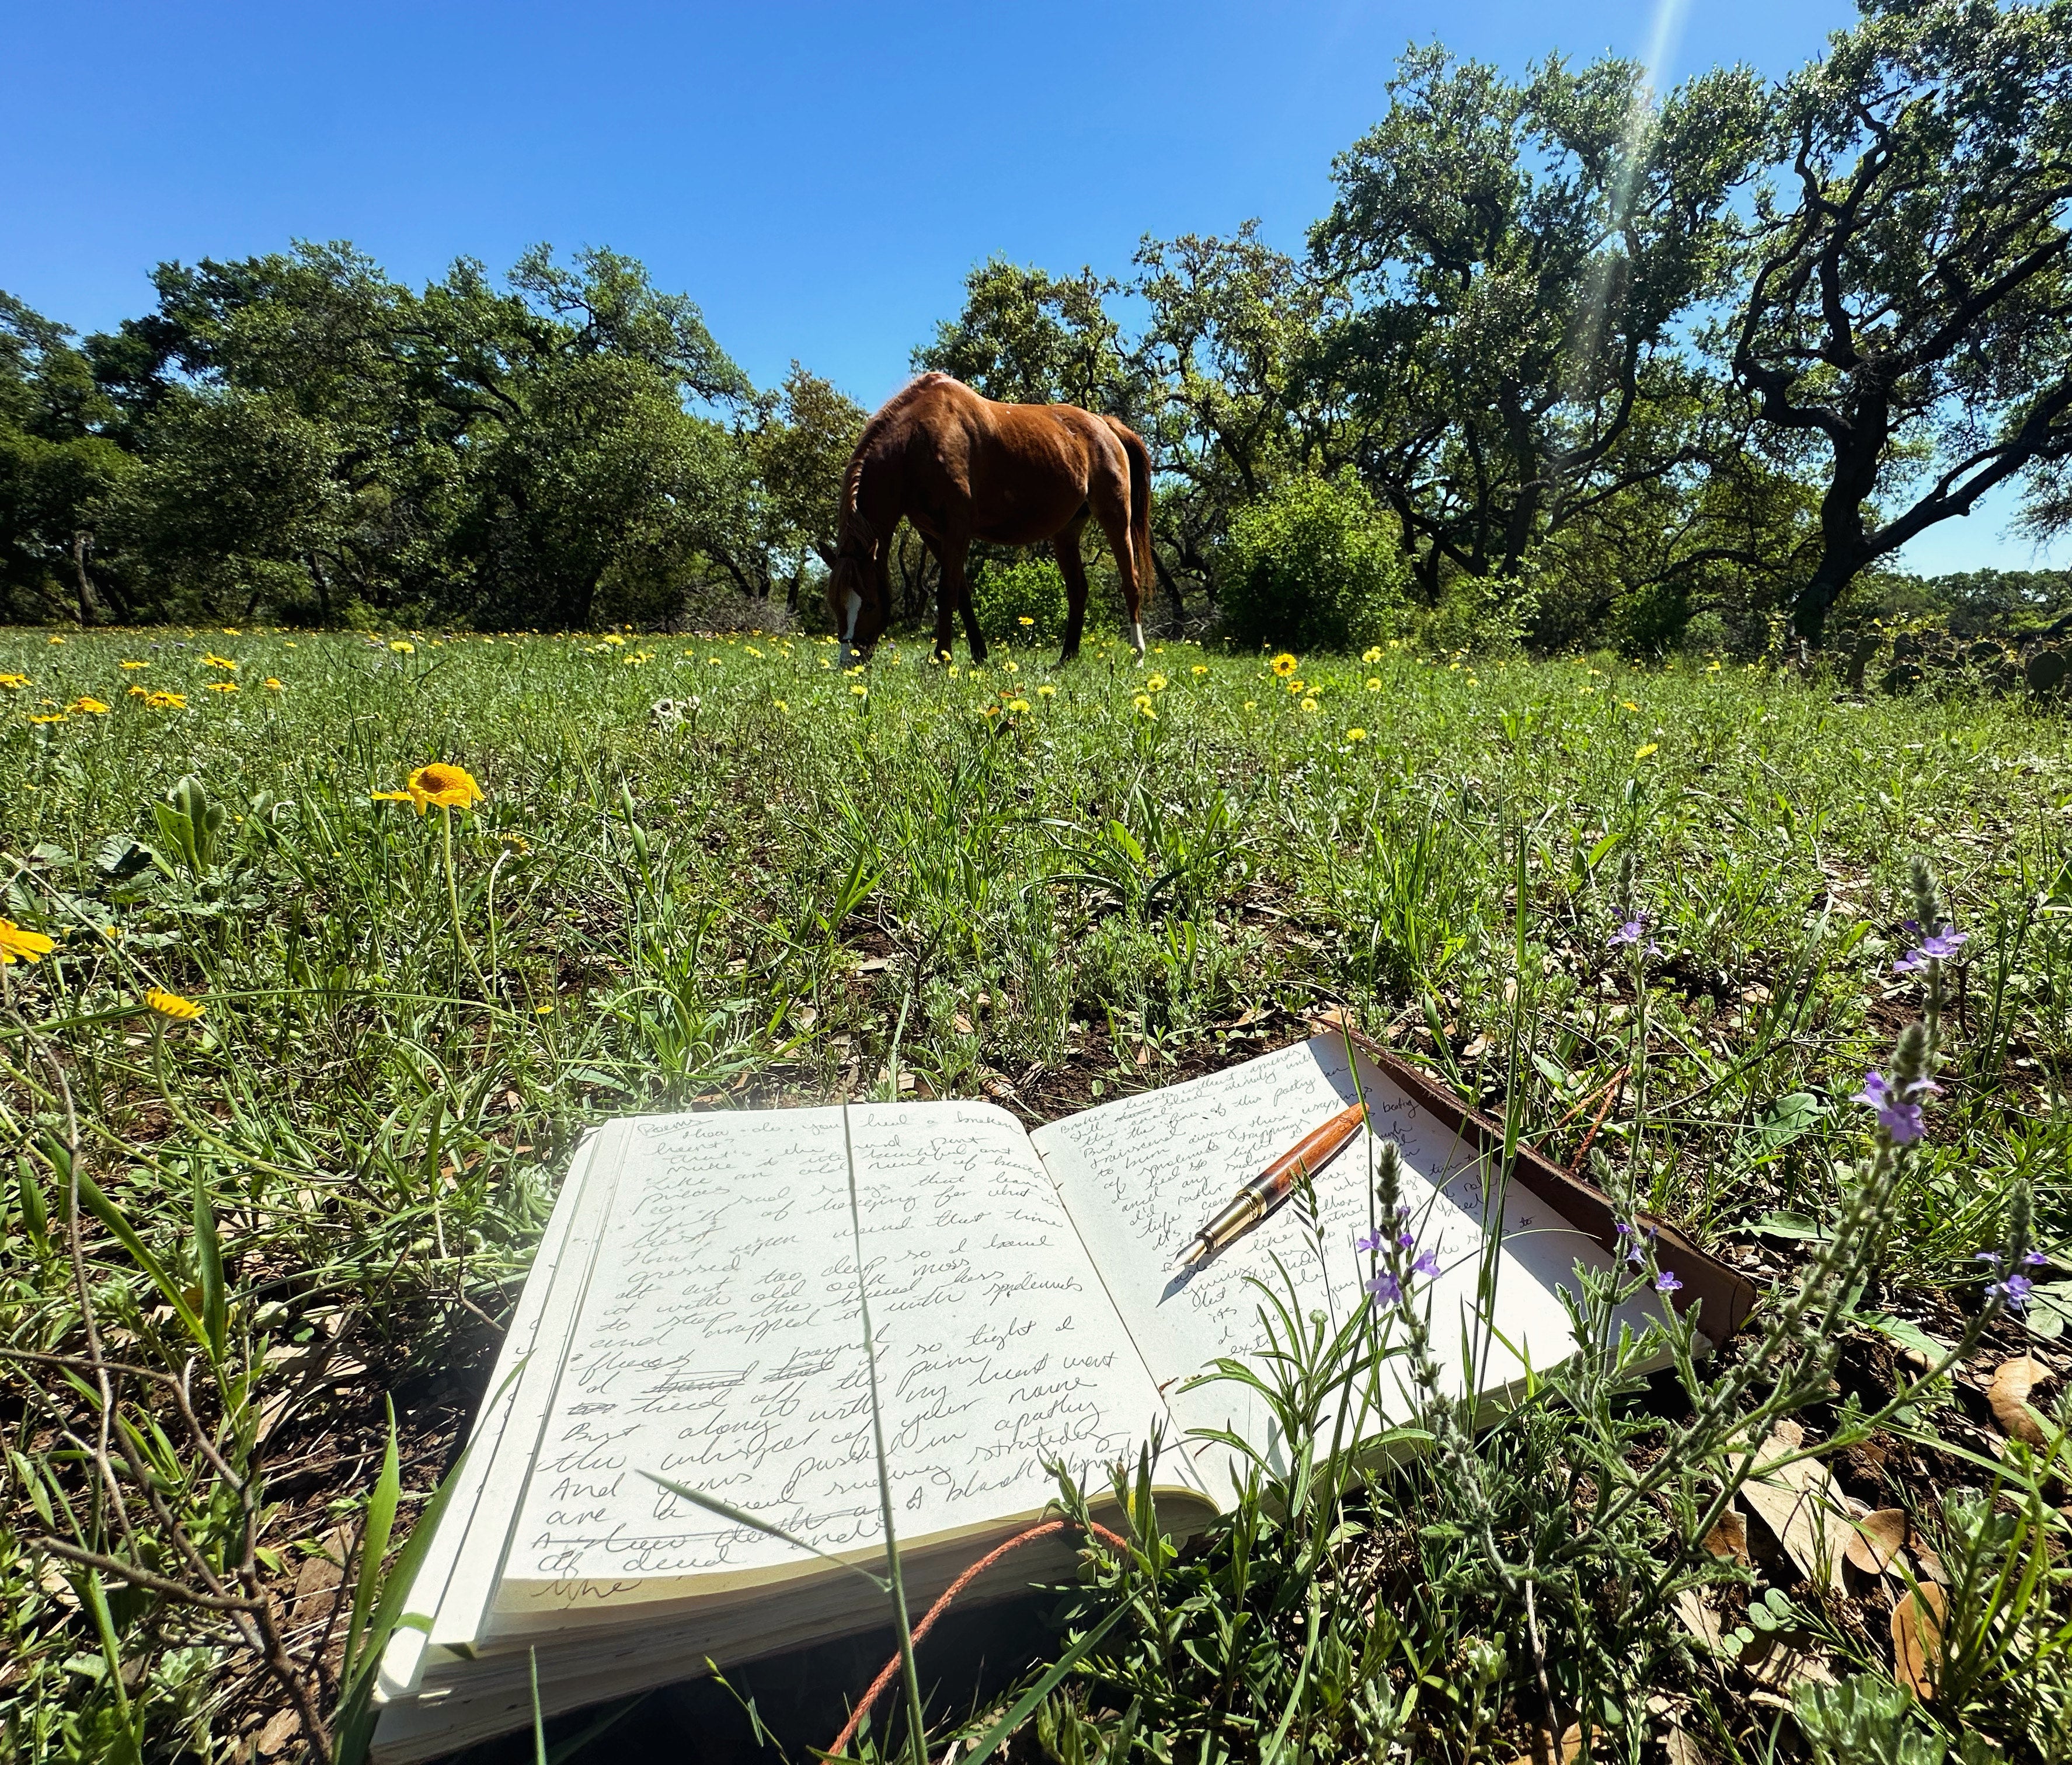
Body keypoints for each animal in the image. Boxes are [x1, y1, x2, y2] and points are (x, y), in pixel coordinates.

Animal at [825, 373, 1160, 668]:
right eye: (835, 604)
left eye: (869, 603)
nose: (849, 660)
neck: (916, 441)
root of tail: (1105, 425)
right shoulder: (933, 534)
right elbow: (962, 593)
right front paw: (978, 654)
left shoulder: (956, 530)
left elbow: (947, 593)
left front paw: (941, 659)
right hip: (1066, 532)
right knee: (1078, 589)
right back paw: (1066, 657)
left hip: (1115, 517)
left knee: (1131, 582)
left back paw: (1137, 655)